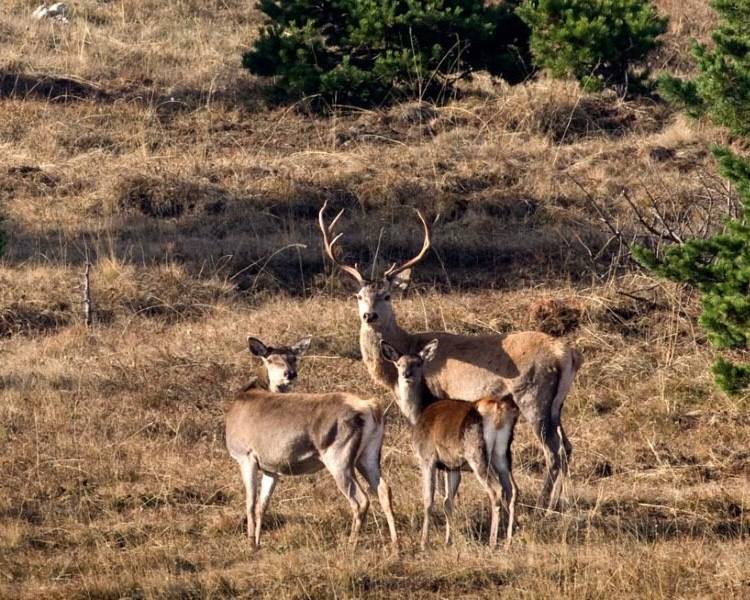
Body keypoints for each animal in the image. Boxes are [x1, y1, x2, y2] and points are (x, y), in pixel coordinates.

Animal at [225, 336, 396, 552]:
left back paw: (350, 546)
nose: (290, 373)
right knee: (384, 489)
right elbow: (262, 505)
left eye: (293, 358)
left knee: (360, 499)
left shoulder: (245, 454)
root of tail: (369, 408)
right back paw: (396, 545)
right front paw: (257, 542)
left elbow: (249, 503)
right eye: (270, 359)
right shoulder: (272, 467)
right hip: (369, 454)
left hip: (338, 455)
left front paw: (251, 546)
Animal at [320, 203, 584, 510]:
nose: (369, 316)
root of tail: (567, 354)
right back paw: (558, 501)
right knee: (566, 447)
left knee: (552, 451)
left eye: (387, 295)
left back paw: (542, 504)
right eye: (359, 296)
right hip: (556, 404)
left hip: (533, 396)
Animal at [382, 338, 516, 548]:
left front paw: (423, 542)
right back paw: (508, 540)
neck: (418, 413)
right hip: (503, 454)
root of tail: (499, 409)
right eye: (399, 363)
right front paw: (448, 540)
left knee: (496, 491)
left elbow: (428, 499)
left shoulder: (427, 457)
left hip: (476, 453)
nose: (406, 375)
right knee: (512, 490)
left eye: (418, 363)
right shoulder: (452, 465)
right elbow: (448, 501)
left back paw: (493, 542)